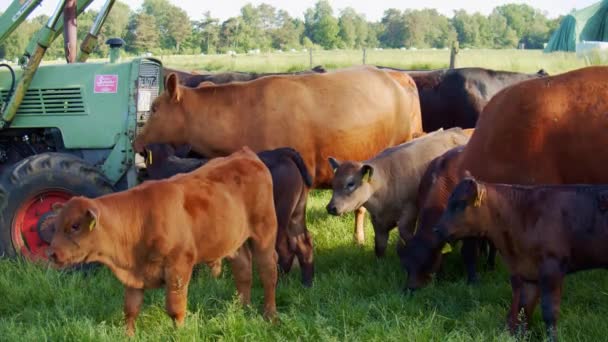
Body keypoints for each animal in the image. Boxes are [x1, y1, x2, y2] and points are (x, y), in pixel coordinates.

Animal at [47, 146, 278, 334]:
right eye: (55, 226)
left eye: (74, 226)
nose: (52, 254)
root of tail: (244, 153)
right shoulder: (134, 274)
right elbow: (130, 309)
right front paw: (128, 336)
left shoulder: (178, 267)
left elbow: (175, 309)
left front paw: (179, 333)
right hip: (234, 242)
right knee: (243, 270)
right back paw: (242, 309)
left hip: (265, 234)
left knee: (268, 272)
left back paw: (269, 315)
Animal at [328, 127, 470, 256]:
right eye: (333, 184)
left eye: (350, 183)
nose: (330, 207)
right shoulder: (378, 222)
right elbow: (379, 246)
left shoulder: (410, 213)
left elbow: (406, 237)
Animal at [436, 175, 608, 340]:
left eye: (460, 203)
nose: (436, 229)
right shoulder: (528, 272)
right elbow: (523, 308)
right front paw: (520, 336)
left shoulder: (551, 268)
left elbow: (549, 311)